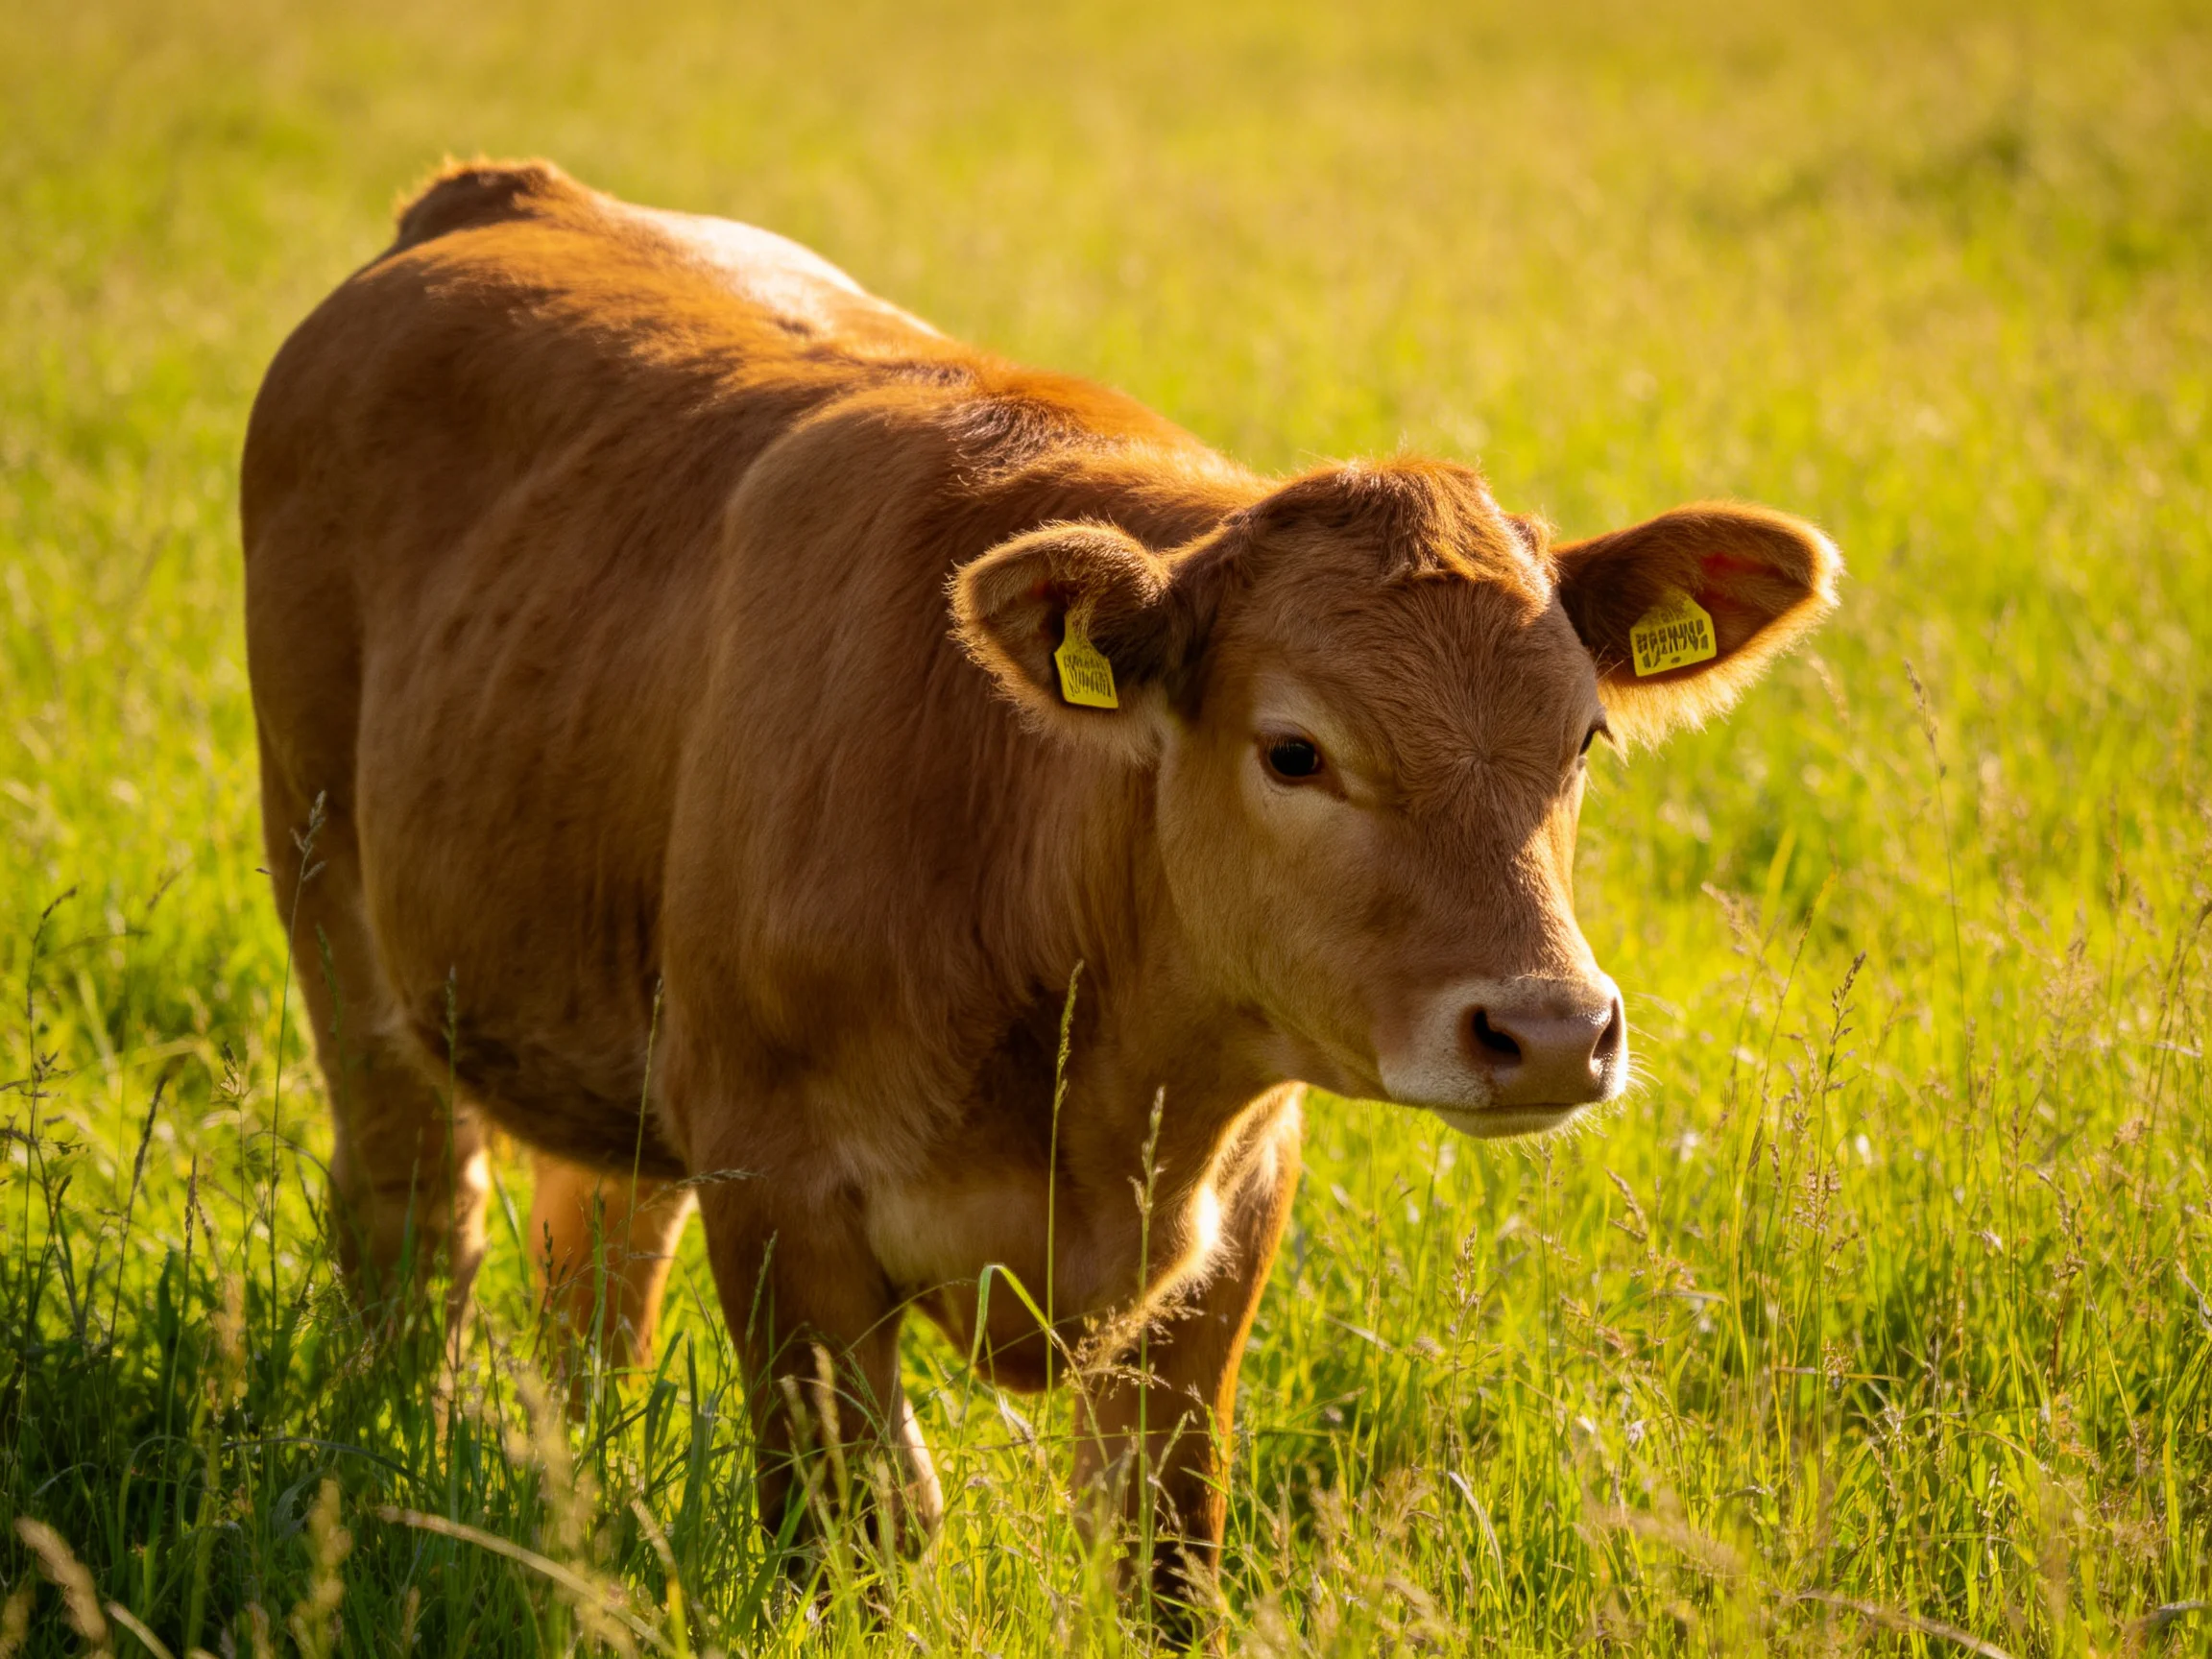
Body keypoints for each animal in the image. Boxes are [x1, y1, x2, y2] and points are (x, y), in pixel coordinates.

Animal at [241, 158, 1839, 1619]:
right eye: (1295, 750)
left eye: (1584, 741)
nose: (1553, 1031)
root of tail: (502, 193)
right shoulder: (780, 1197)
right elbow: (862, 1526)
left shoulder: (1229, 1221)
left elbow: (1163, 1550)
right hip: (332, 898)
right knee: (412, 1213)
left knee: (599, 1249)